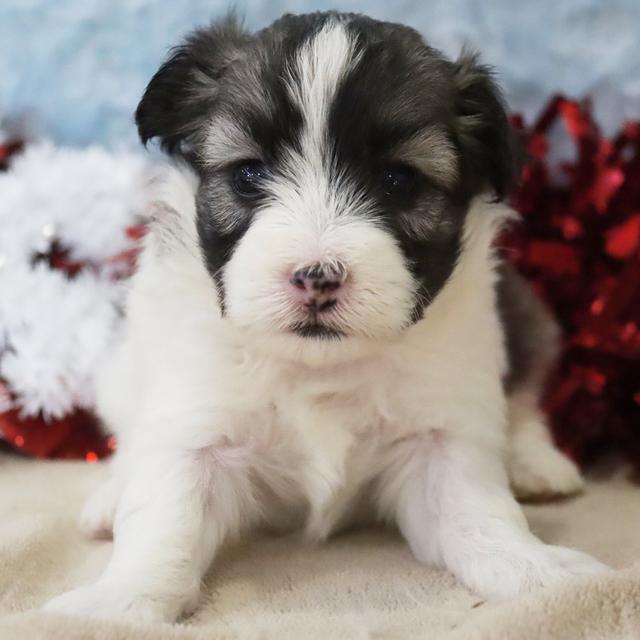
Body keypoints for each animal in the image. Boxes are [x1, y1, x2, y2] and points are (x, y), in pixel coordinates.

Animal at [45, 12, 604, 624]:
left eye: (398, 181)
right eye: (248, 175)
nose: (316, 277)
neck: (319, 366)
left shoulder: (443, 437)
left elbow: (480, 517)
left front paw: (539, 572)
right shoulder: (195, 420)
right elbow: (164, 520)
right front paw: (114, 603)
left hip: (523, 314)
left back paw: (536, 463)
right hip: (122, 366)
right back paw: (108, 496)